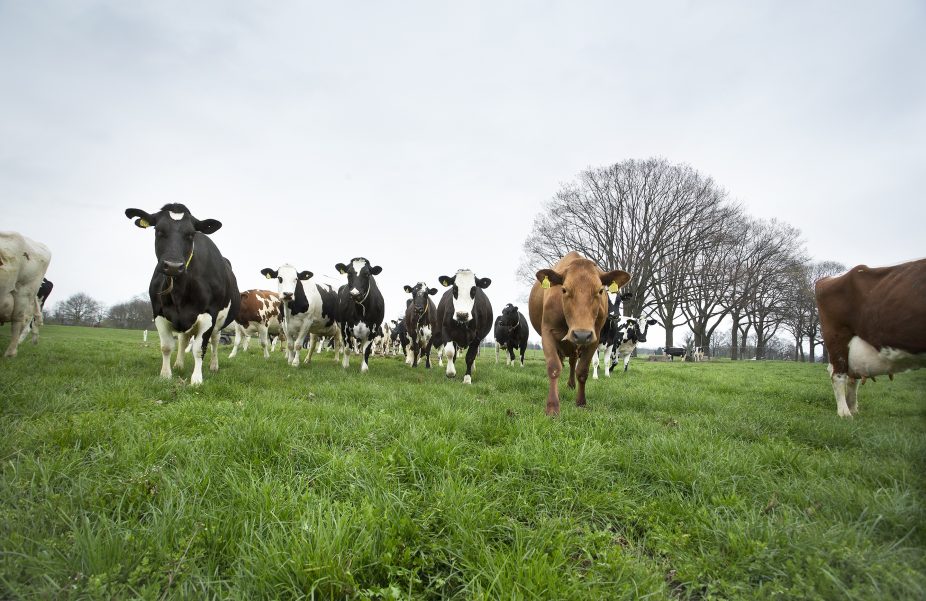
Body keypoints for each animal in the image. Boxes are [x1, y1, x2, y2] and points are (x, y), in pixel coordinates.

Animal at [124, 204, 240, 385]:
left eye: (191, 234)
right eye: (158, 230)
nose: (173, 266)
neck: (179, 291)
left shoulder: (209, 315)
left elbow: (199, 349)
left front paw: (196, 379)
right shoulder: (159, 313)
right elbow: (167, 346)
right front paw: (165, 375)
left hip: (219, 322)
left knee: (214, 342)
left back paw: (214, 366)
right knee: (183, 340)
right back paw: (179, 365)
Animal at [528, 251, 630, 415]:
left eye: (600, 291)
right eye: (564, 289)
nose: (581, 334)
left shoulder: (594, 337)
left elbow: (582, 371)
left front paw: (581, 403)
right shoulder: (547, 333)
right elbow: (554, 367)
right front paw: (552, 407)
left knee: (572, 362)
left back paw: (571, 384)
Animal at [815, 259, 926, 417]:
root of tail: (828, 278)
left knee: (852, 377)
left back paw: (853, 409)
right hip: (837, 339)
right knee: (838, 374)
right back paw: (845, 414)